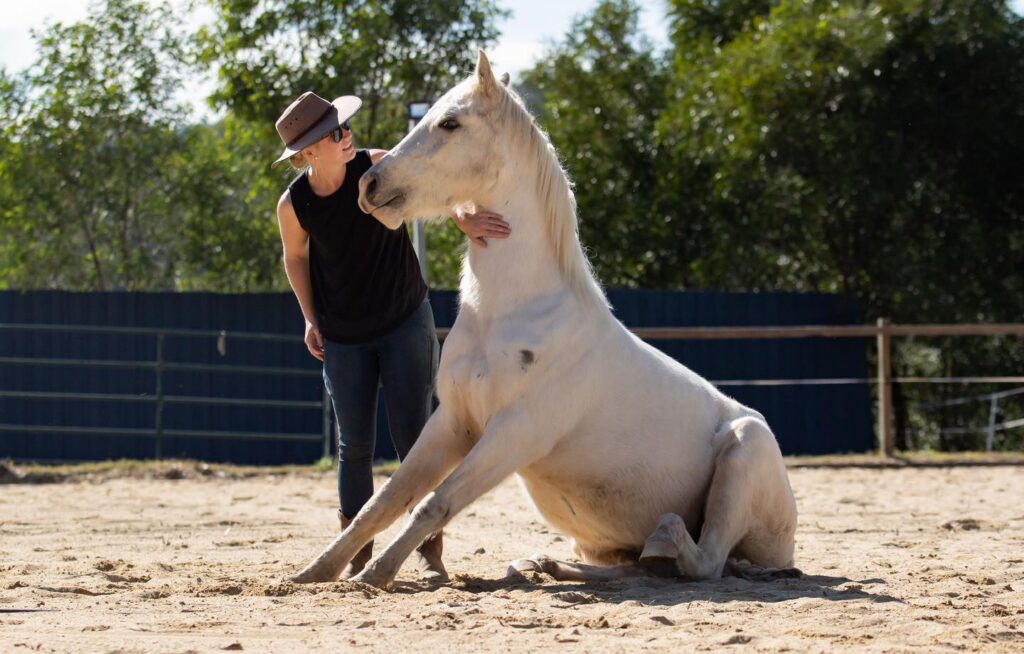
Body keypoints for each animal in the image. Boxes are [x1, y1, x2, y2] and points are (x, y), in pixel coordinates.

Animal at [290, 51, 798, 589]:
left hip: (745, 451)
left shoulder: (512, 435)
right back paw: (547, 564)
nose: (370, 185)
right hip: (602, 543)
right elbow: (384, 501)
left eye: (450, 122)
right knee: (631, 567)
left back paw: (666, 538)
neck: (511, 312)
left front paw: (375, 575)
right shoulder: (453, 424)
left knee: (707, 562)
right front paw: (316, 571)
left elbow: (433, 503)